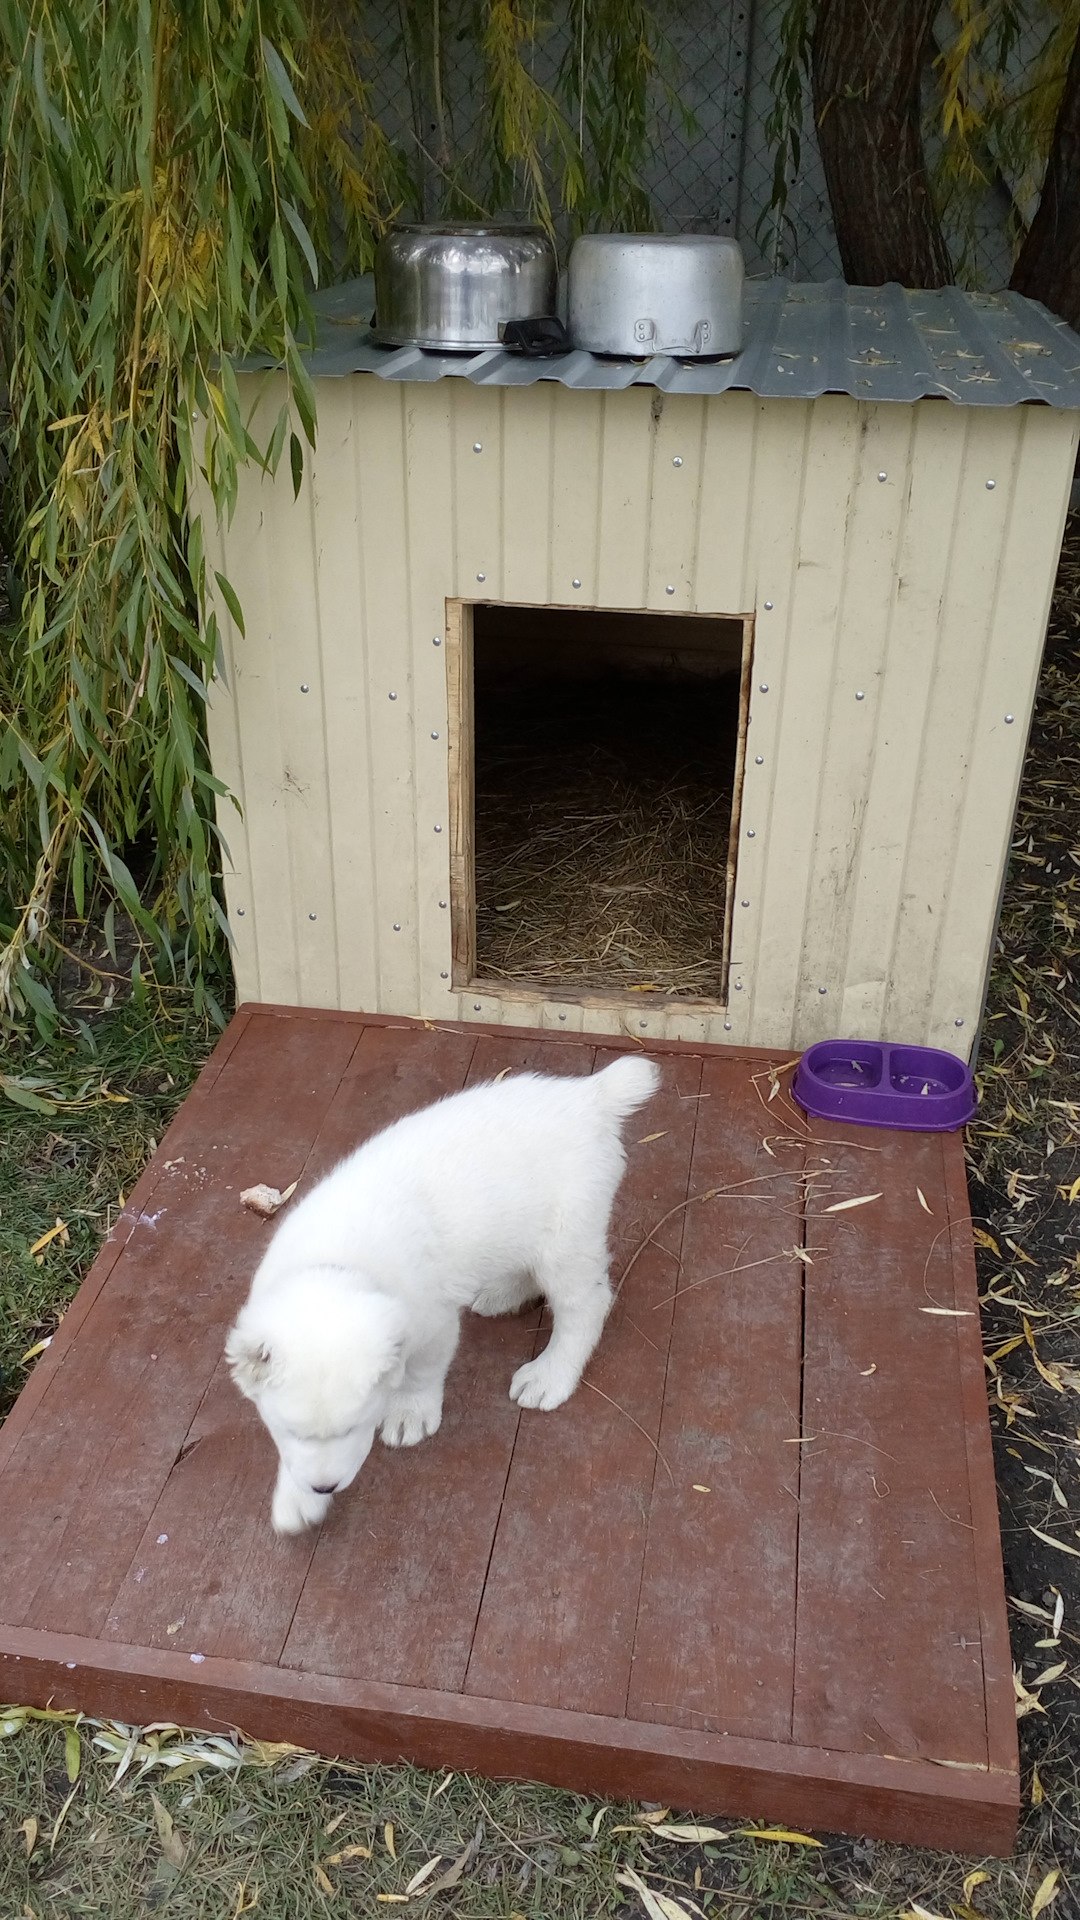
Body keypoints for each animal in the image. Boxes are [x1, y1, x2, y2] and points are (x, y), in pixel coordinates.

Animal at [226, 1052, 657, 1528]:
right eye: (288, 1431)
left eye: (355, 1426)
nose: (324, 1487)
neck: (337, 1263)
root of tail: (591, 1095)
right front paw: (297, 1499)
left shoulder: (433, 1324)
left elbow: (420, 1373)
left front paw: (409, 1413)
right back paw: (502, 1293)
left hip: (567, 1239)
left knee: (587, 1306)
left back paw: (550, 1375)